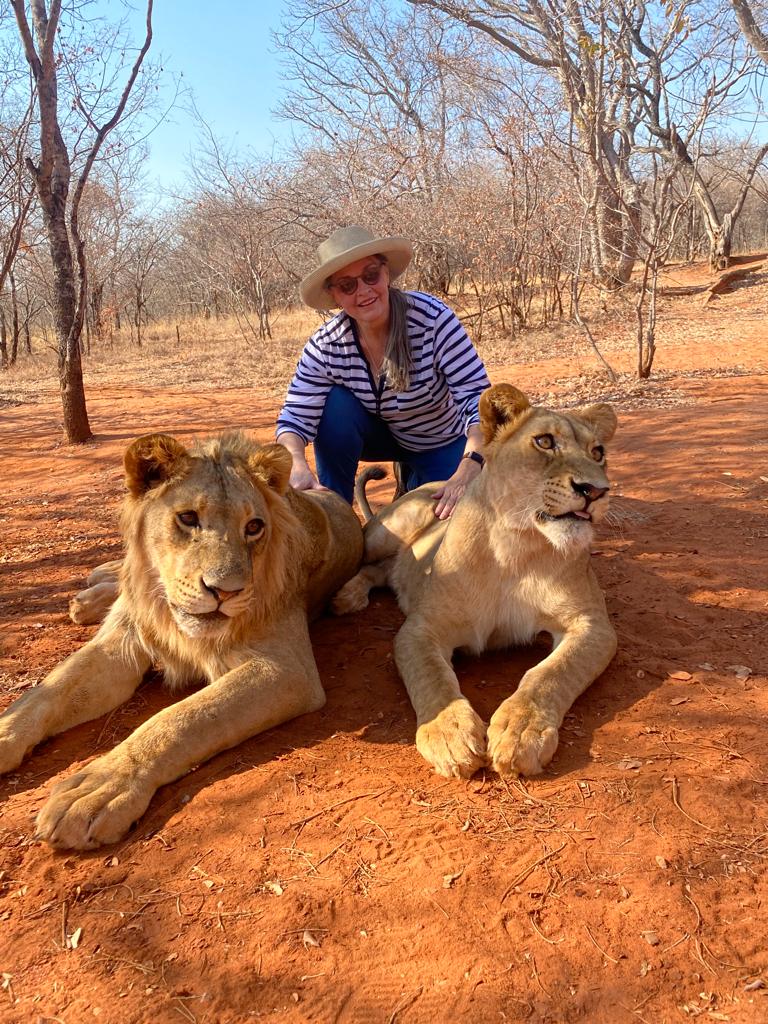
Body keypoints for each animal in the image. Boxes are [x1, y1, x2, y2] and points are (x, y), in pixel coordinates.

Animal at [0, 433, 363, 850]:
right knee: (119, 573)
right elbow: (49, 690)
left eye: (254, 527)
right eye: (188, 518)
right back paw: (91, 592)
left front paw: (99, 789)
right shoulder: (120, 640)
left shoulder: (288, 669)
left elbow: (180, 720)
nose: (226, 591)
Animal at [332, 383, 618, 781]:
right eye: (545, 441)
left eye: (598, 452)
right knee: (366, 559)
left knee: (384, 572)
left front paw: (521, 732)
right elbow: (433, 677)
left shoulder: (592, 625)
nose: (596, 491)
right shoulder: (421, 629)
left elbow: (549, 674)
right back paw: (345, 595)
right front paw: (448, 735)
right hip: (387, 530)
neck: (517, 547)